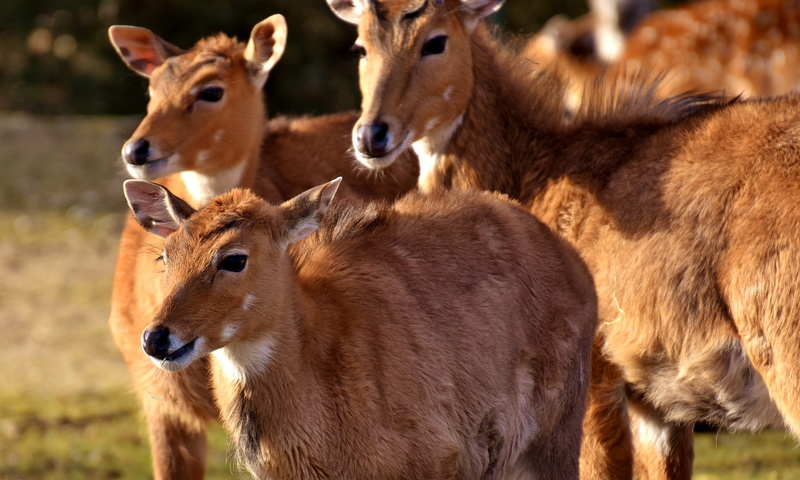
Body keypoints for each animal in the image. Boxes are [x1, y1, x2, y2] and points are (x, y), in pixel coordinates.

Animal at [122, 177, 598, 480]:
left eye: (234, 258)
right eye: (166, 255)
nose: (157, 338)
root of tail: (577, 265)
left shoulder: (437, 459)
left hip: (553, 437)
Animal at [327, 0, 800, 478]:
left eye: (435, 41)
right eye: (361, 45)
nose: (371, 135)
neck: (536, 172)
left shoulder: (595, 370)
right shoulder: (658, 403)